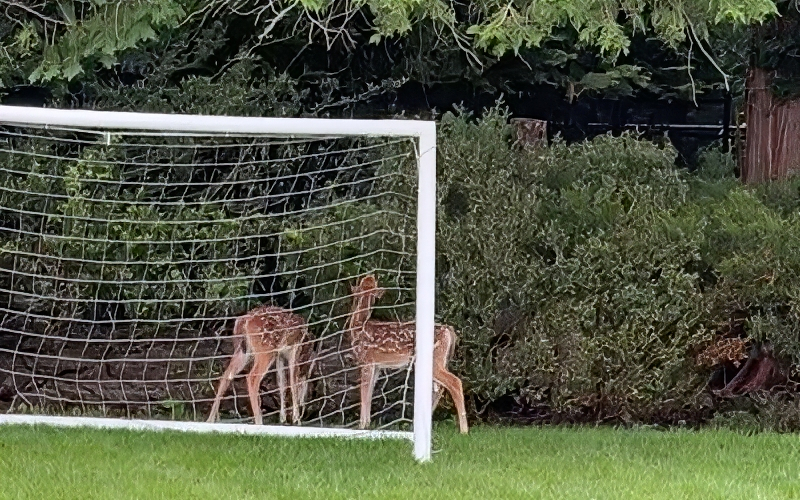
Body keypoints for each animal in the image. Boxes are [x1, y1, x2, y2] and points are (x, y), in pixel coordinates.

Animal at [346, 274, 468, 434]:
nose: (370, 275)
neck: (359, 326)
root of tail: (449, 330)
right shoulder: (377, 365)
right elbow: (370, 392)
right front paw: (367, 424)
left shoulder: (366, 360)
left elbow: (364, 393)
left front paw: (362, 426)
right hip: (442, 359)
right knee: (440, 387)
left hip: (434, 359)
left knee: (454, 382)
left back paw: (464, 430)